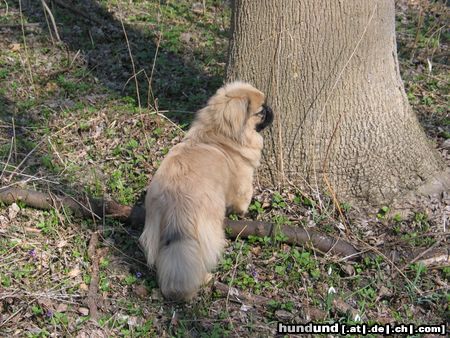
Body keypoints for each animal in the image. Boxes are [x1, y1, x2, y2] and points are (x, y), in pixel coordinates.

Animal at [140, 81, 274, 302]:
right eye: (261, 111)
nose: (271, 110)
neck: (218, 135)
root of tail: (176, 199)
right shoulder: (243, 184)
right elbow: (243, 203)